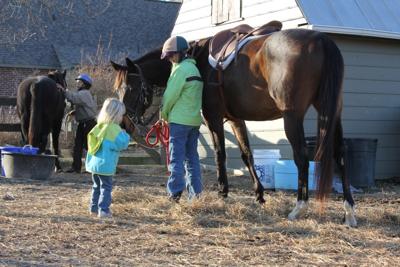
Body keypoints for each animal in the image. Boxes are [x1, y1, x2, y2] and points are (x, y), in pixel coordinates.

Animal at [111, 28, 356, 226]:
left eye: (130, 87)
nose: (125, 122)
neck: (197, 59)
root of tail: (321, 40)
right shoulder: (236, 119)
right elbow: (247, 154)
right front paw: (259, 195)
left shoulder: (213, 118)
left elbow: (220, 154)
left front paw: (223, 192)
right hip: (332, 112)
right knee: (340, 155)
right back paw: (349, 210)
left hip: (292, 117)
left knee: (302, 157)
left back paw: (299, 207)